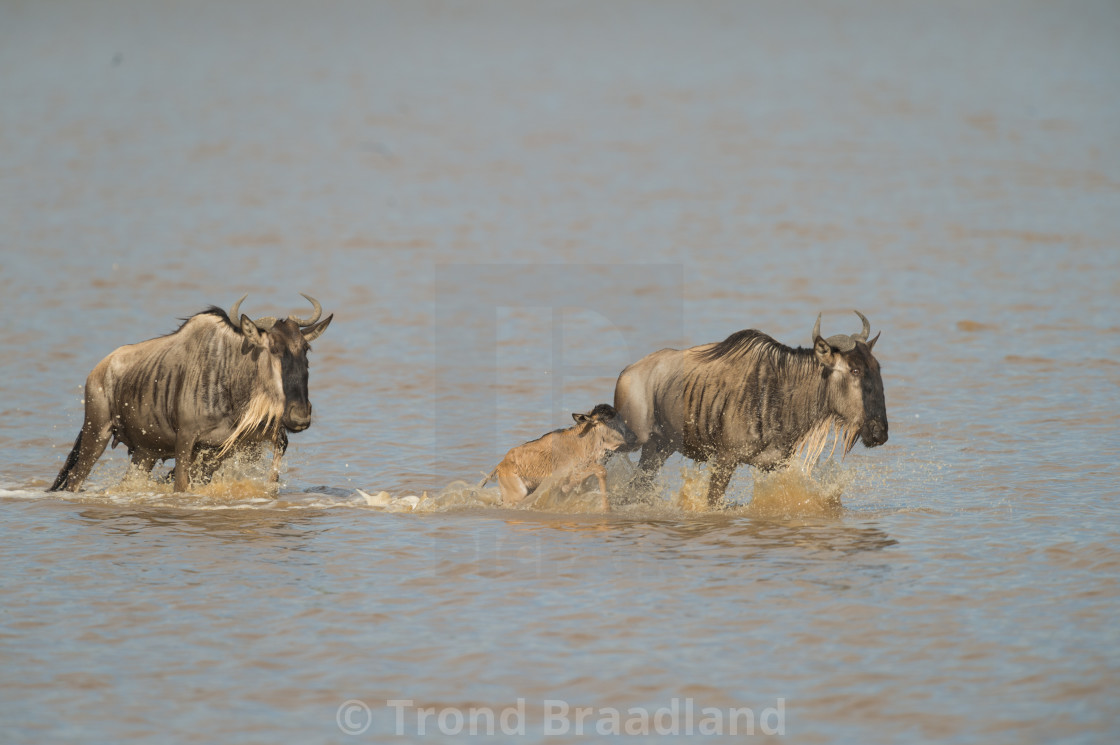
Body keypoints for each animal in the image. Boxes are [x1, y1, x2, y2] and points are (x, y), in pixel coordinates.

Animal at [481, 401, 631, 510]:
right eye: (610, 421)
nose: (633, 439)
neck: (582, 441)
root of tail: (500, 465)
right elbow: (600, 471)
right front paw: (606, 508)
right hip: (517, 495)